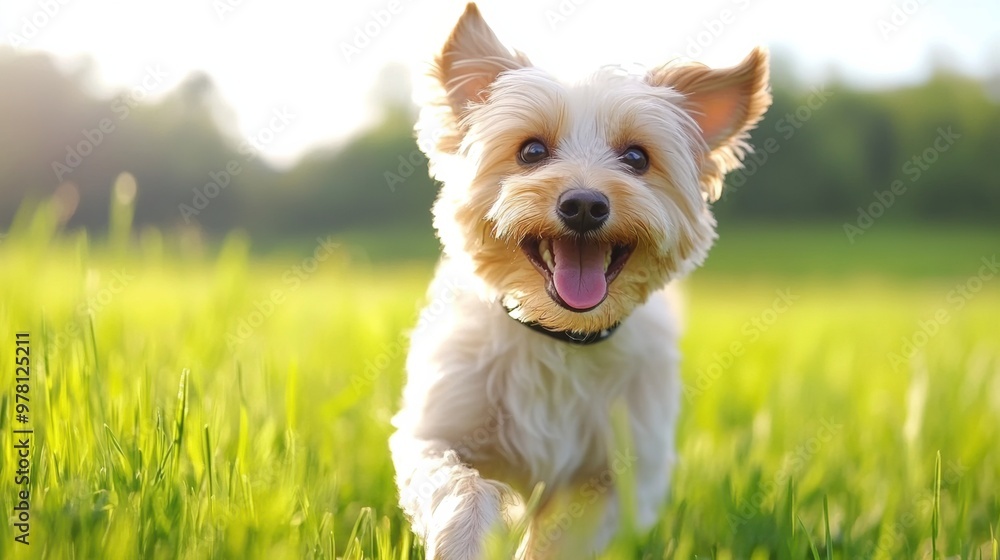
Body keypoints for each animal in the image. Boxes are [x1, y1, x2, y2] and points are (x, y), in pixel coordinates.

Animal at [386, 3, 768, 556]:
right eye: (531, 151)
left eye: (636, 158)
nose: (585, 204)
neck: (561, 335)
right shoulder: (434, 433)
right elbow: (461, 488)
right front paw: (463, 542)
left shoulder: (618, 477)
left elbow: (563, 537)